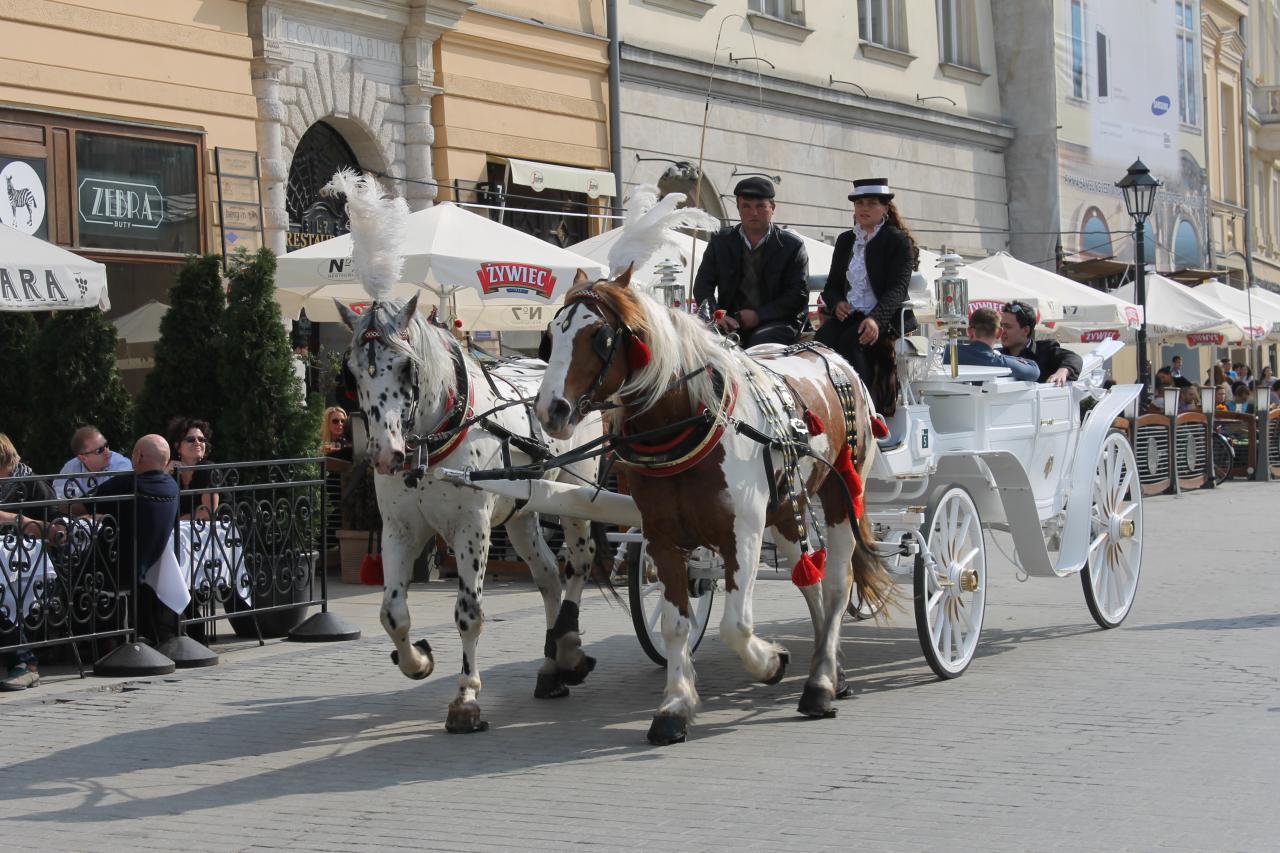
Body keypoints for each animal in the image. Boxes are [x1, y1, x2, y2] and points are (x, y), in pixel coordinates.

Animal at [335, 294, 604, 732]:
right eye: (353, 371)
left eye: (407, 366)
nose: (385, 454)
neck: (433, 440)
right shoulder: (398, 530)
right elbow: (392, 613)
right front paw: (417, 661)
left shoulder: (471, 529)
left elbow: (469, 613)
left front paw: (466, 697)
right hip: (523, 512)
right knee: (548, 575)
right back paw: (550, 669)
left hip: (576, 494)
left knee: (578, 565)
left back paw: (568, 649)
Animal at [529, 268, 890, 742]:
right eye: (551, 336)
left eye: (600, 337)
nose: (550, 410)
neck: (691, 420)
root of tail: (830, 354)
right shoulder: (662, 538)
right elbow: (675, 624)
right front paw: (675, 706)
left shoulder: (743, 535)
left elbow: (735, 626)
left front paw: (772, 663)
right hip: (784, 510)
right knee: (808, 578)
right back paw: (835, 674)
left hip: (840, 493)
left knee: (834, 582)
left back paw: (820, 684)